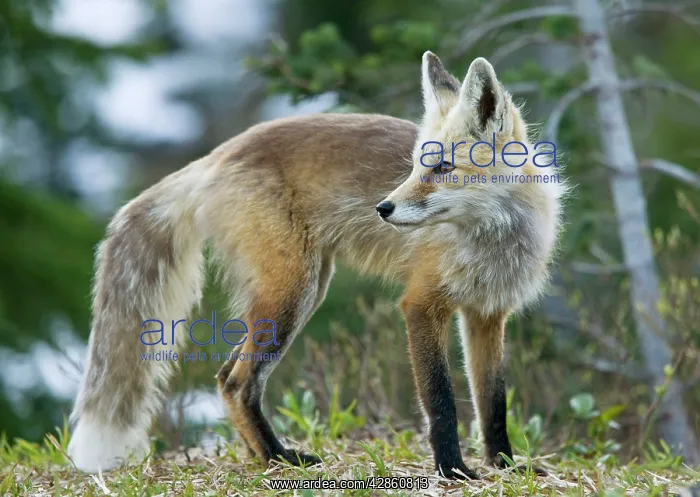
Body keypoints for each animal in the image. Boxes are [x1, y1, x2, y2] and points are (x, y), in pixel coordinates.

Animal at [67, 52, 564, 479]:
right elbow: (440, 400)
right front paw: (452, 470)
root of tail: (218, 154)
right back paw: (278, 458)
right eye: (413, 167)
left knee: (227, 375)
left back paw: (262, 455)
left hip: (302, 289)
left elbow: (493, 402)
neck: (493, 242)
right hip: (292, 292)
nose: (383, 208)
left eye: (441, 168)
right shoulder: (422, 305)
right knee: (236, 381)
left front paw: (505, 466)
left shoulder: (487, 313)